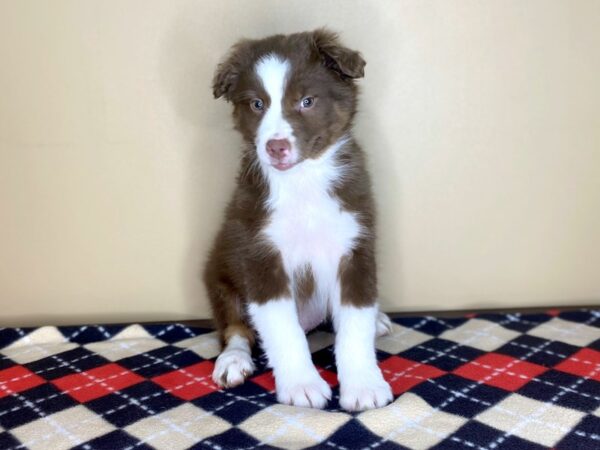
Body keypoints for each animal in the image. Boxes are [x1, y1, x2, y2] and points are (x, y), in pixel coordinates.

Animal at [205, 29, 394, 412]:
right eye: (257, 104)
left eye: (307, 101)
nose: (275, 147)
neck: (303, 181)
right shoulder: (260, 255)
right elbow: (283, 329)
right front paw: (302, 385)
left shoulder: (355, 247)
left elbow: (355, 322)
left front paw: (364, 384)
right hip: (218, 276)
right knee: (235, 328)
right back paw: (233, 360)